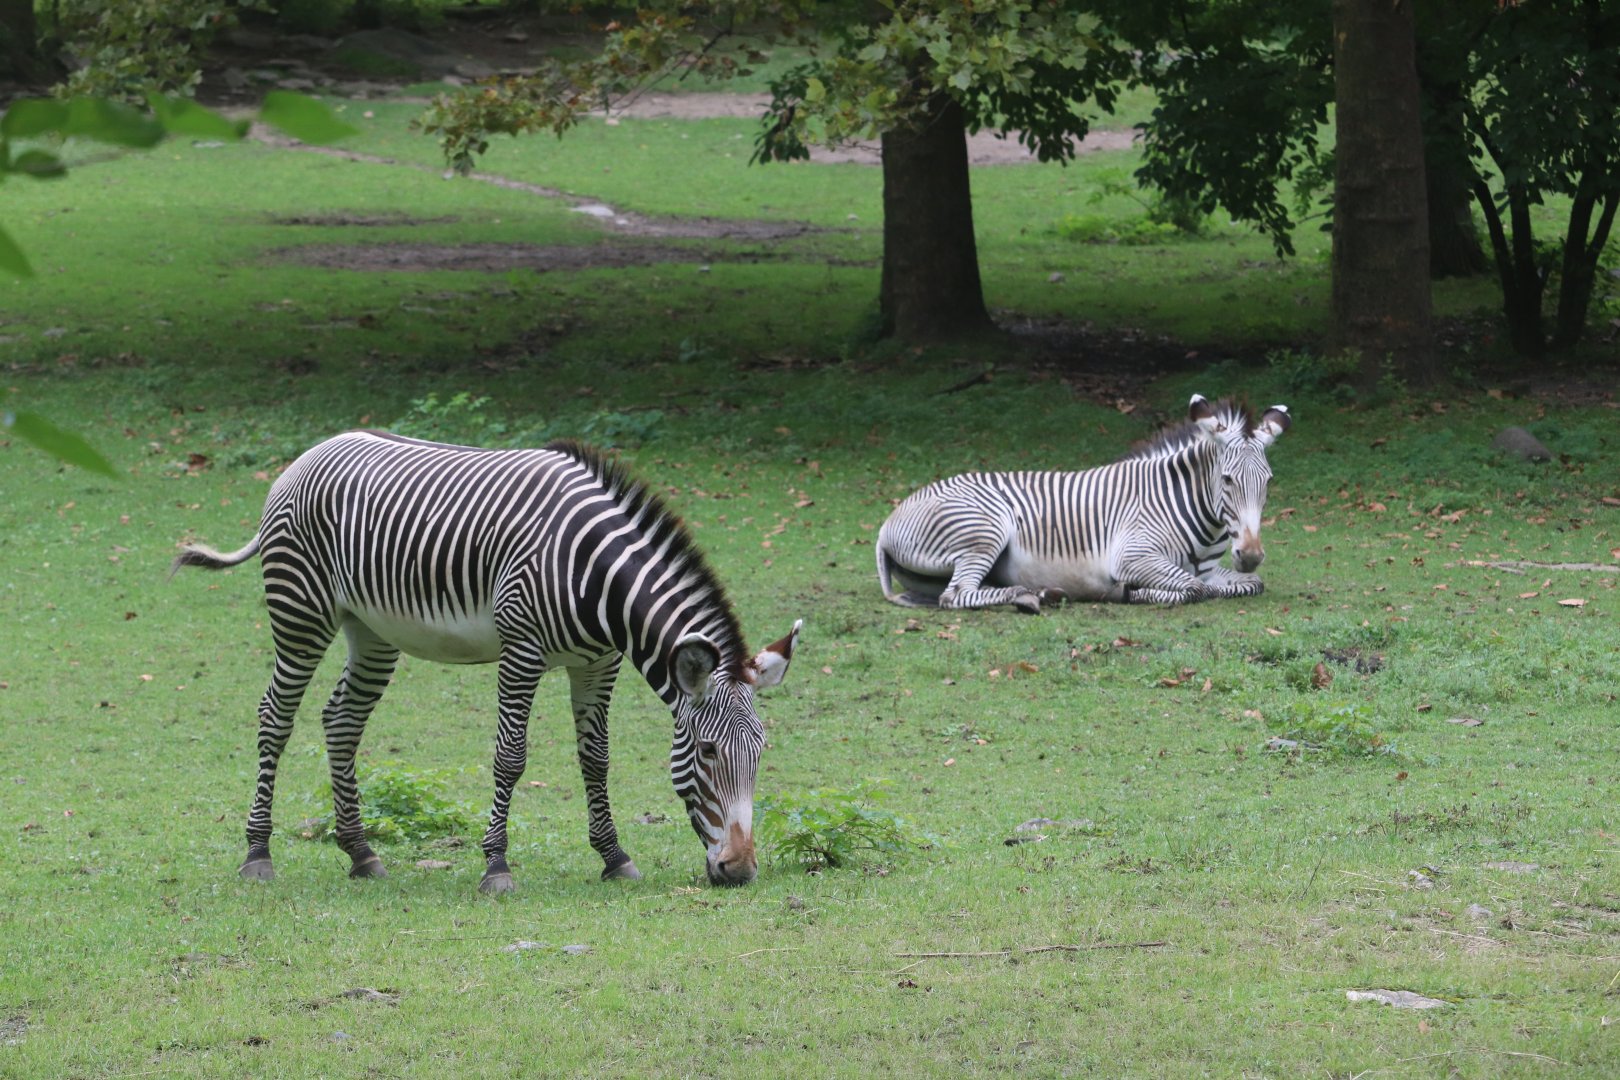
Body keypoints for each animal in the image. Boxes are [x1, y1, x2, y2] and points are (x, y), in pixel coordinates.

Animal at [173, 432, 801, 893]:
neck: (597, 576)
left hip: (371, 630)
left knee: (341, 721)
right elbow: (510, 758)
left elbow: (596, 760)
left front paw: (614, 857)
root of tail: (309, 454)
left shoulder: (598, 662)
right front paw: (496, 865)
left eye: (761, 752)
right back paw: (257, 854)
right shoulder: (521, 651)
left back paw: (361, 853)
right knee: (274, 717)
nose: (740, 872)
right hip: (300, 612)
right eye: (708, 751)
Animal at [875, 395, 1291, 611]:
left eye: (1269, 482)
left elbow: (1249, 584)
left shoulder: (1210, 569)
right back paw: (1028, 596)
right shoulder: (1133, 557)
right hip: (984, 529)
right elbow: (1193, 590)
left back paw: (1043, 593)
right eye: (1228, 480)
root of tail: (887, 524)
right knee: (955, 595)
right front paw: (1130, 593)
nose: (1251, 554)